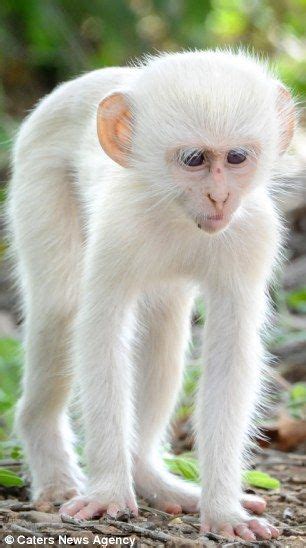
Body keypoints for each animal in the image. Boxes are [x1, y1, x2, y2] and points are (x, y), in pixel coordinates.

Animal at [7, 50, 294, 540]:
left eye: (236, 157)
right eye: (194, 159)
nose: (220, 197)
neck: (178, 213)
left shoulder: (254, 231)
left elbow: (231, 354)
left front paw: (224, 509)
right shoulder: (121, 226)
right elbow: (100, 334)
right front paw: (108, 493)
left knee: (164, 327)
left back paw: (150, 476)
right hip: (36, 172)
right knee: (59, 310)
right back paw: (53, 464)